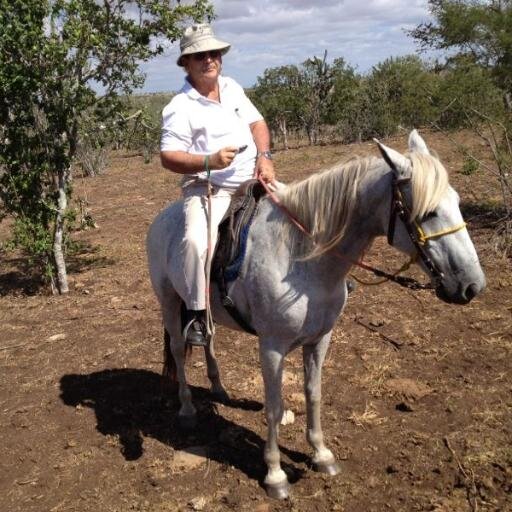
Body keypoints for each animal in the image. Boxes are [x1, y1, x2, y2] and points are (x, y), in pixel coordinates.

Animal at [146, 130, 486, 498]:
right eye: (429, 212)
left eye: (456, 201)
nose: (472, 285)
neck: (301, 257)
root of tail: (162, 219)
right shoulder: (272, 347)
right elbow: (274, 407)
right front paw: (275, 474)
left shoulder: (320, 339)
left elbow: (314, 393)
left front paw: (322, 454)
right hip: (169, 303)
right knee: (178, 351)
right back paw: (187, 408)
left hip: (205, 311)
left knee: (207, 338)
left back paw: (219, 389)